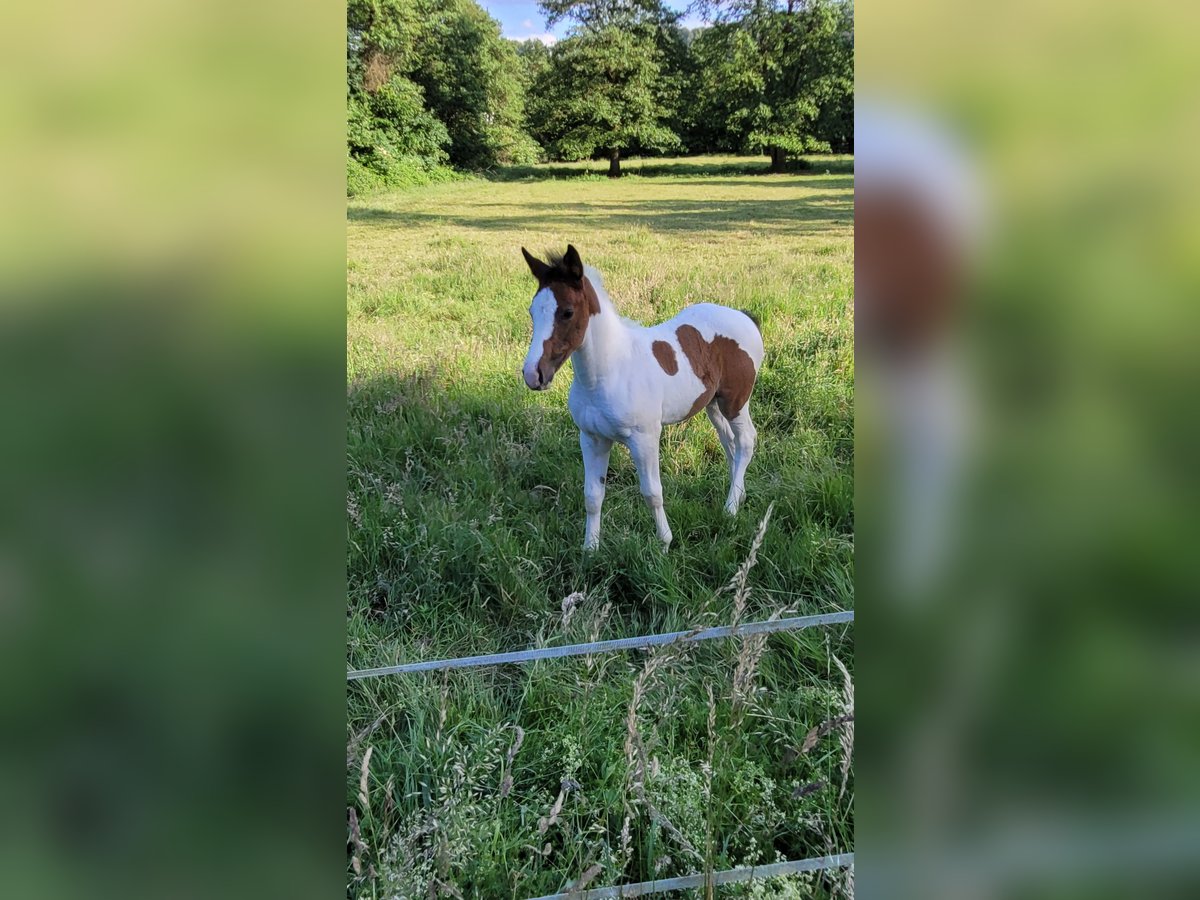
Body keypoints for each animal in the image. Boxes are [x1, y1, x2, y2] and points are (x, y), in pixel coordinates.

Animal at [520, 243, 763, 549]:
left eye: (567, 312)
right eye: (532, 311)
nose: (533, 374)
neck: (609, 373)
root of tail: (746, 317)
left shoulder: (644, 438)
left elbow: (652, 492)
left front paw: (665, 543)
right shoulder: (591, 438)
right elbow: (592, 496)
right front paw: (590, 548)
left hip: (736, 401)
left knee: (746, 441)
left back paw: (730, 508)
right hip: (713, 405)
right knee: (730, 444)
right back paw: (738, 496)